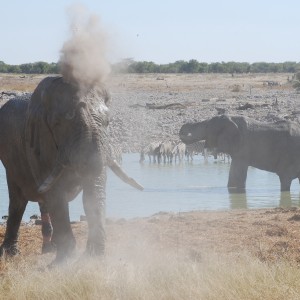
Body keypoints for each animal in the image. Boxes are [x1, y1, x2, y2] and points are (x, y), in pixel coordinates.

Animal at [0, 75, 143, 264]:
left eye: (108, 122)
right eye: (57, 124)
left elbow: (91, 192)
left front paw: (90, 258)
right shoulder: (39, 143)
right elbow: (56, 195)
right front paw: (64, 262)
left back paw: (50, 248)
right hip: (10, 159)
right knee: (18, 200)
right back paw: (11, 253)